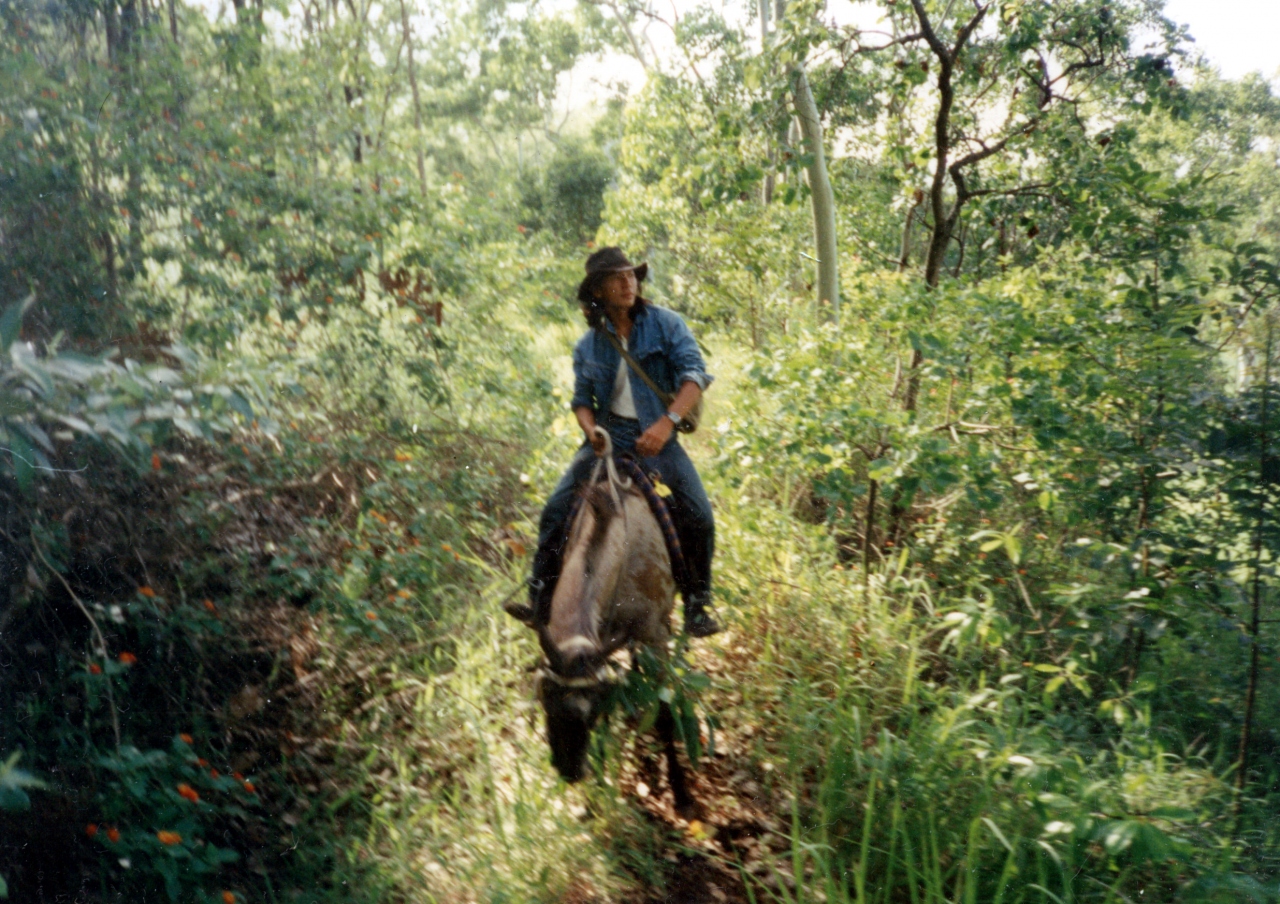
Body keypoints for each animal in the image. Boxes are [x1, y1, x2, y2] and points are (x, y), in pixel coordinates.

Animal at [504, 427, 696, 809]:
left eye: (591, 711)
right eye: (546, 701)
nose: (569, 771)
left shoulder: (653, 636)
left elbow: (664, 710)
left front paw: (680, 791)